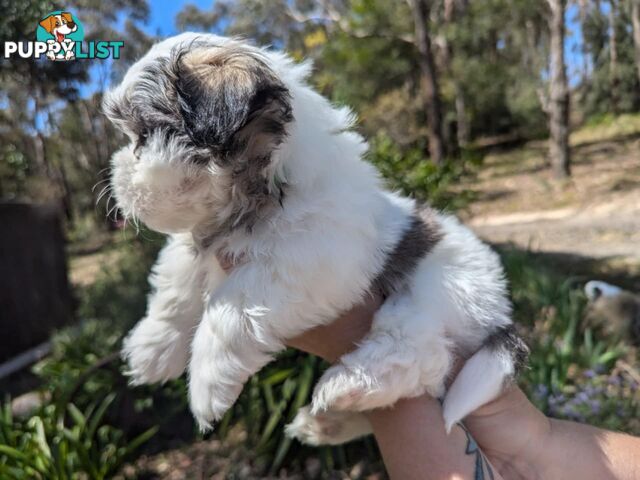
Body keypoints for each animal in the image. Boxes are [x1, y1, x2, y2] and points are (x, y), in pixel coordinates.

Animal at [102, 32, 528, 446]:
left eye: (144, 135)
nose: (115, 172)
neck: (257, 198)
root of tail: (499, 312)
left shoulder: (304, 262)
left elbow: (229, 307)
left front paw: (207, 382)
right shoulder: (195, 248)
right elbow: (173, 292)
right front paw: (152, 349)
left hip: (438, 289)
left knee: (423, 352)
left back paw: (346, 387)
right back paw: (326, 424)